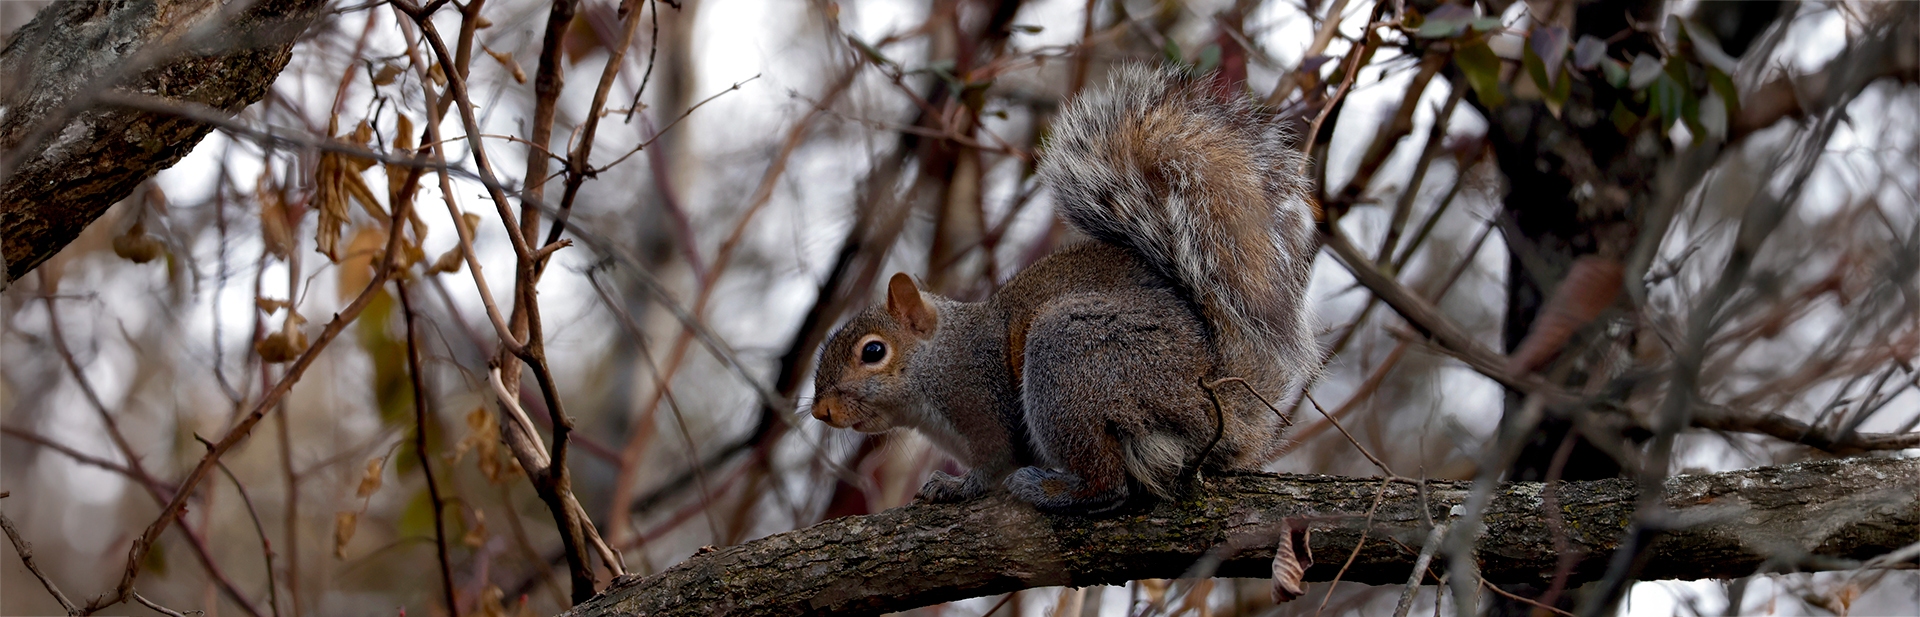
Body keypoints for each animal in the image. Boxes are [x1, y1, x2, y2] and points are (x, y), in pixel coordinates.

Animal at [810, 64, 1320, 511]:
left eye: (873, 352)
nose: (821, 413)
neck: (939, 359)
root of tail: (1215, 398)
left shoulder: (983, 399)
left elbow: (995, 461)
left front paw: (956, 487)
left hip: (1071, 361)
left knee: (1107, 483)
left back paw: (1052, 490)